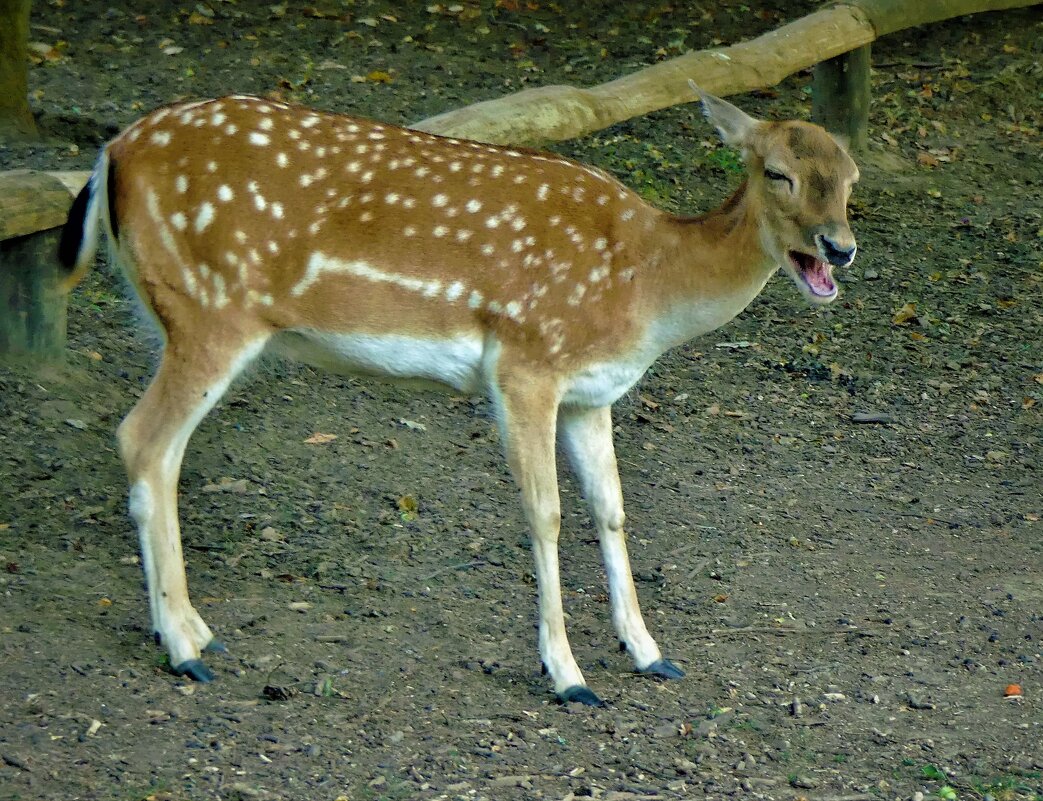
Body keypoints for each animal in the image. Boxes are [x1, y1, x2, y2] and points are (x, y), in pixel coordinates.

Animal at [55, 82, 855, 709]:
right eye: (777, 173)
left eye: (851, 179)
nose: (838, 246)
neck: (645, 285)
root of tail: (110, 154)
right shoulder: (525, 362)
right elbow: (545, 513)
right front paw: (567, 673)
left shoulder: (591, 392)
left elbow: (612, 509)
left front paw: (649, 651)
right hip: (208, 310)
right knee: (141, 437)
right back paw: (183, 646)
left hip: (182, 314)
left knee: (157, 450)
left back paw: (195, 633)